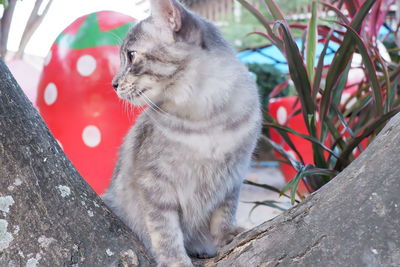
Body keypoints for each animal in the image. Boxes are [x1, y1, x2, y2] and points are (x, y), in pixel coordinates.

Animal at [101, 0, 260, 266]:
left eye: (131, 55)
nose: (113, 84)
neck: (207, 118)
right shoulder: (155, 181)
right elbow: (165, 229)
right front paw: (174, 259)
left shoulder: (233, 175)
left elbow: (224, 213)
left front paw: (226, 236)